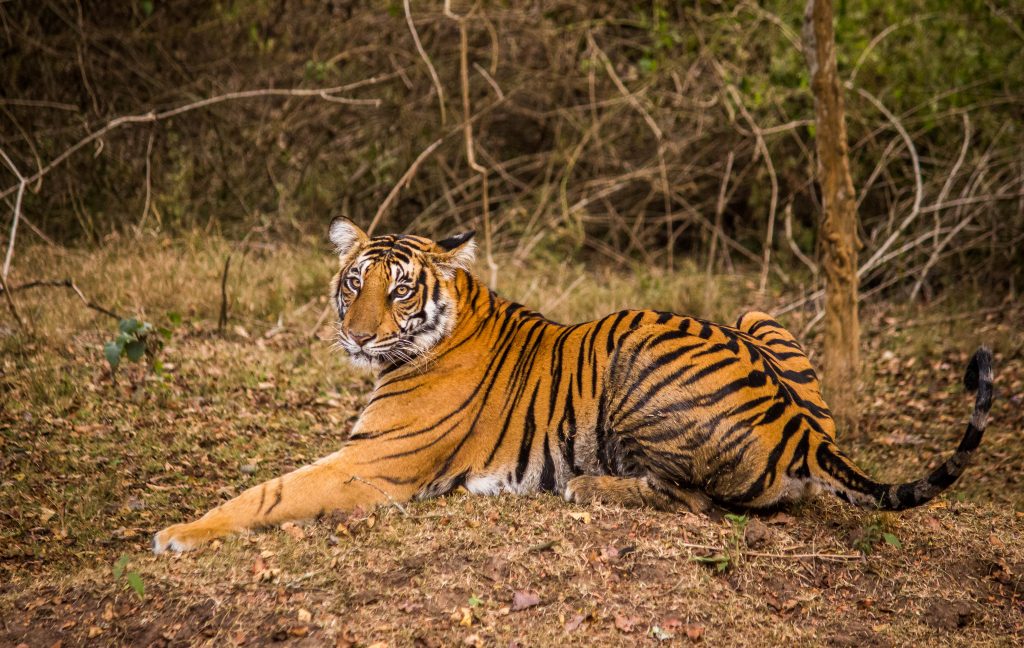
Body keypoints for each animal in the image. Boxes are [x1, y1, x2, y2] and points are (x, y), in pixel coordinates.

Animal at [151, 220, 991, 552]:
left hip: (636, 356)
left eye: (398, 290)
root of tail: (803, 432)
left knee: (698, 501)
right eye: (354, 282)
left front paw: (177, 533)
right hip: (755, 313)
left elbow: (269, 493)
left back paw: (588, 487)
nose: (356, 336)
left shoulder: (373, 466)